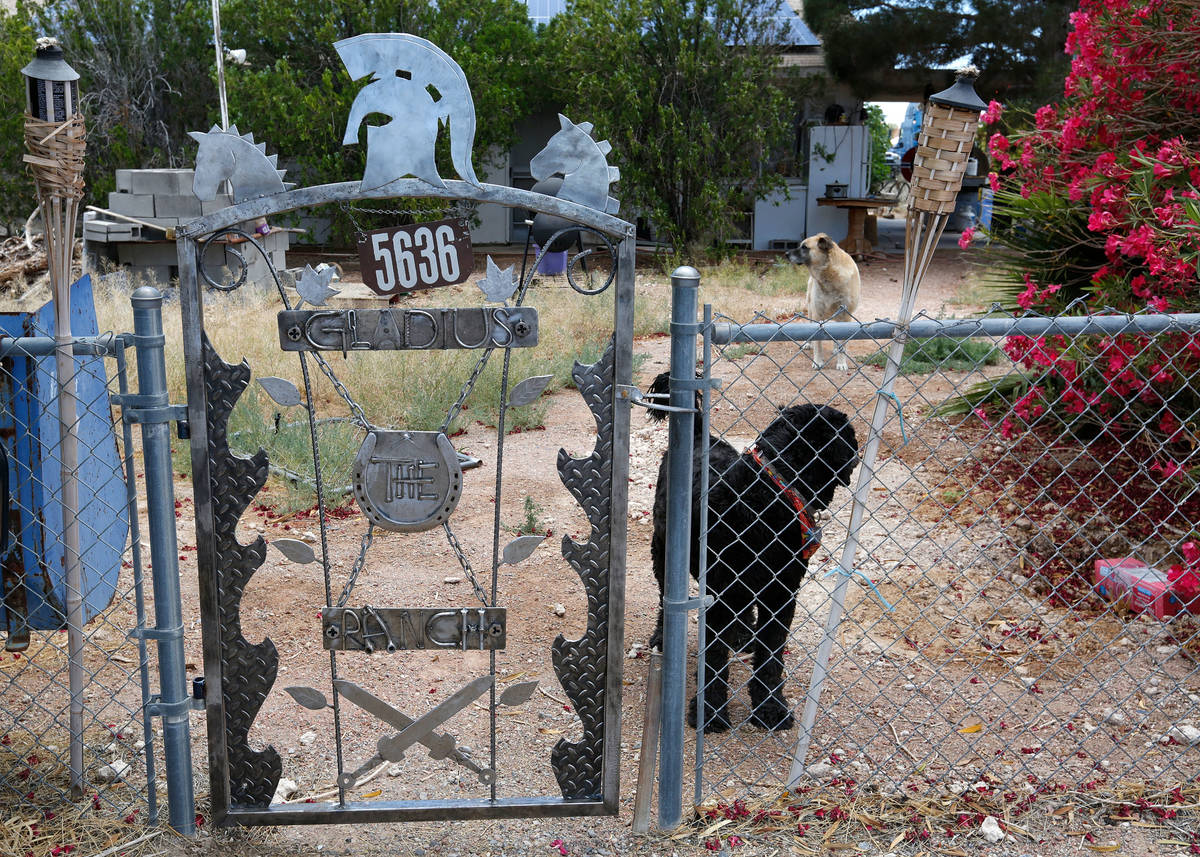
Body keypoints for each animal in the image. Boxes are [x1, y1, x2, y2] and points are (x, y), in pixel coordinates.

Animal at [652, 369, 859, 729]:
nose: (858, 452)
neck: (768, 492)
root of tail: (698, 435)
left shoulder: (781, 594)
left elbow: (772, 656)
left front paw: (770, 707)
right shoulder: (720, 597)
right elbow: (714, 659)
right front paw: (711, 711)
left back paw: (742, 633)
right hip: (663, 549)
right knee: (666, 595)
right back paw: (664, 636)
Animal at [787, 234, 864, 367]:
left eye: (804, 247)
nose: (786, 253)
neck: (830, 274)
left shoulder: (845, 315)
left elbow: (842, 343)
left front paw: (841, 363)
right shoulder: (817, 314)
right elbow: (818, 344)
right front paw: (818, 361)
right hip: (811, 309)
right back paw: (808, 344)